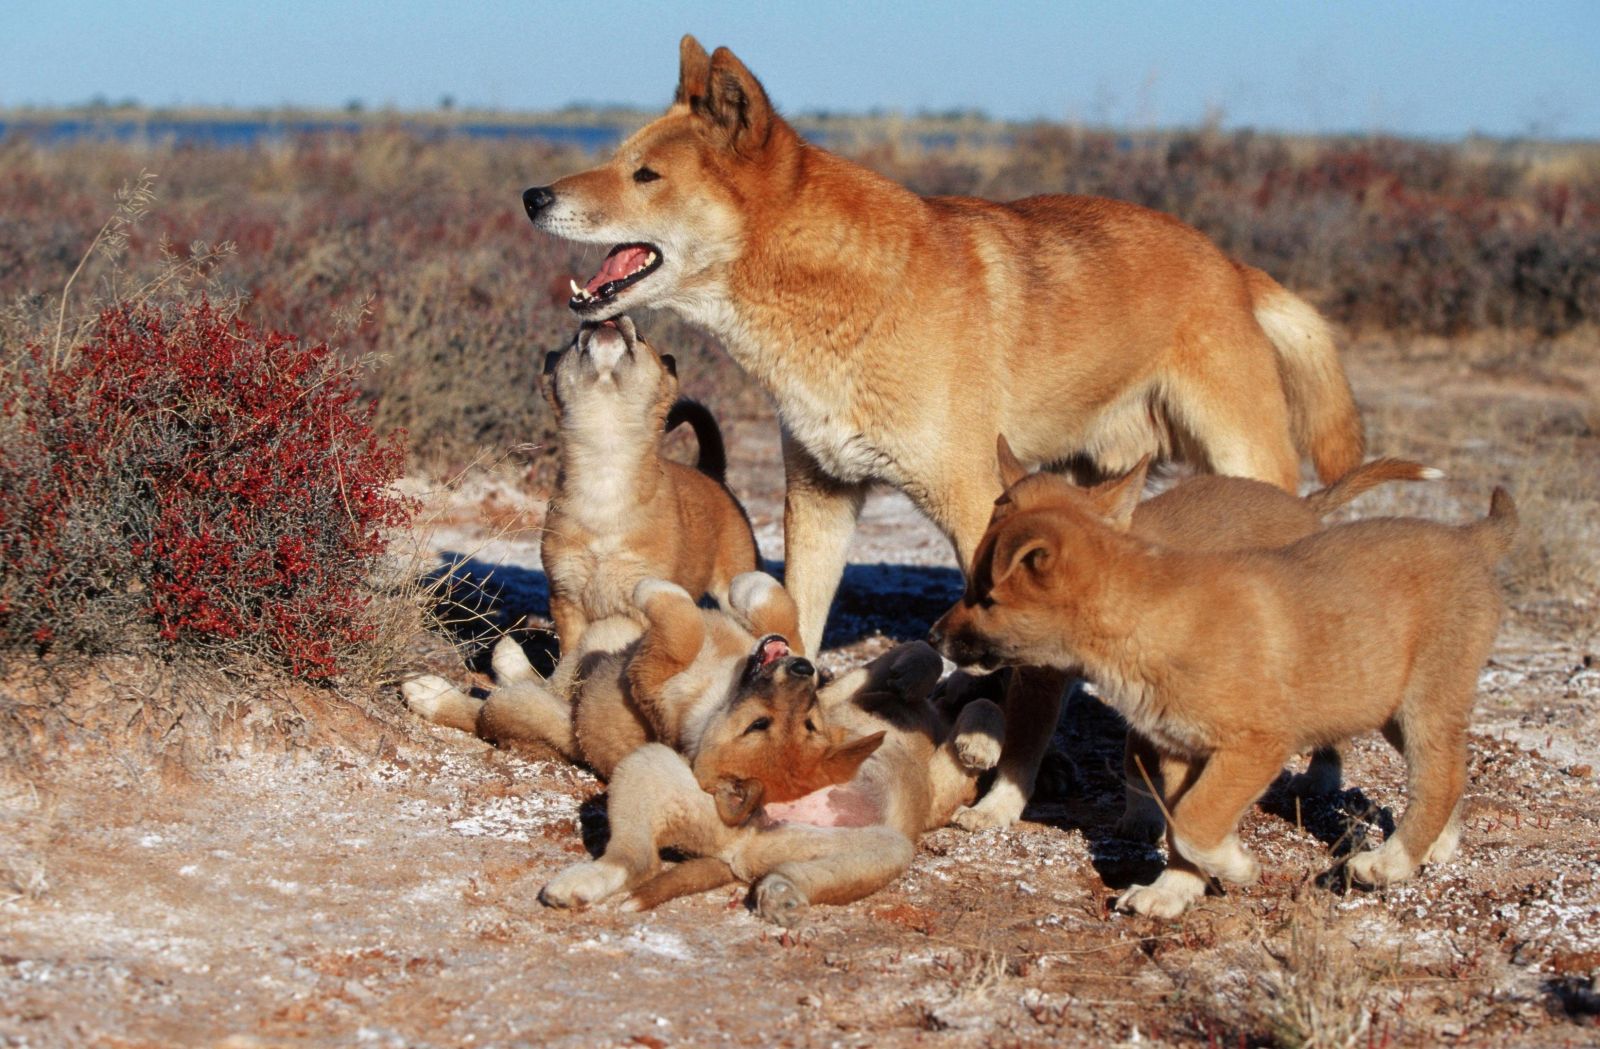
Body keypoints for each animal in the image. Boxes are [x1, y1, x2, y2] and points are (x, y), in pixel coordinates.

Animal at [544, 639, 1004, 927]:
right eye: (757, 724)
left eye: (809, 724)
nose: (804, 667)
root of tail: (740, 843)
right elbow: (941, 669)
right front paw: (916, 680)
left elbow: (974, 697)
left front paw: (971, 738)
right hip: (650, 764)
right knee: (634, 859)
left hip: (880, 847)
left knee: (644, 862)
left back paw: (782, 890)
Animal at [979, 441, 1446, 844]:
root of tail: (1301, 505)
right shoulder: (1038, 681)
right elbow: (1020, 751)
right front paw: (995, 808)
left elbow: (1140, 761)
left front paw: (1142, 818)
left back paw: (1323, 776)